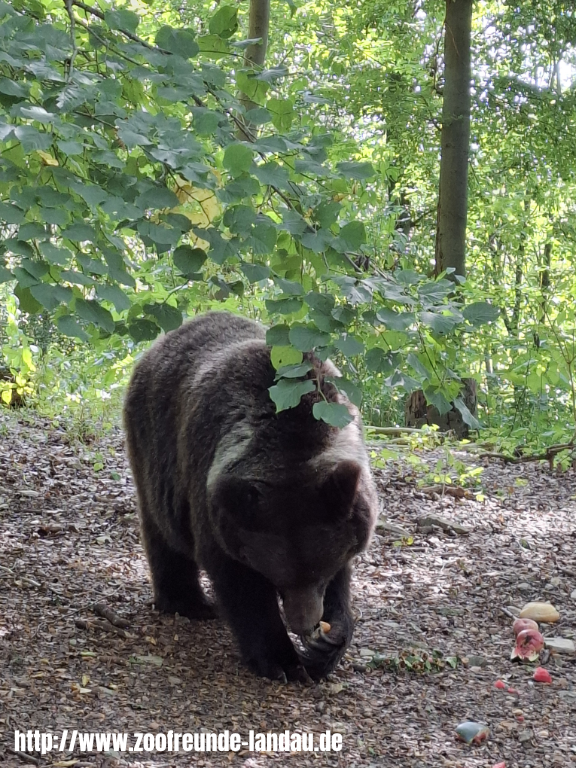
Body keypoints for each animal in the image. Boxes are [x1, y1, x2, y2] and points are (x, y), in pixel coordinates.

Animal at [124, 308, 378, 680]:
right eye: (277, 576)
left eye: (318, 572)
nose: (304, 625)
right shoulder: (217, 500)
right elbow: (240, 583)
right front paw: (281, 659)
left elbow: (343, 572)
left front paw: (327, 644)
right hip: (153, 442)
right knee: (162, 529)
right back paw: (186, 601)